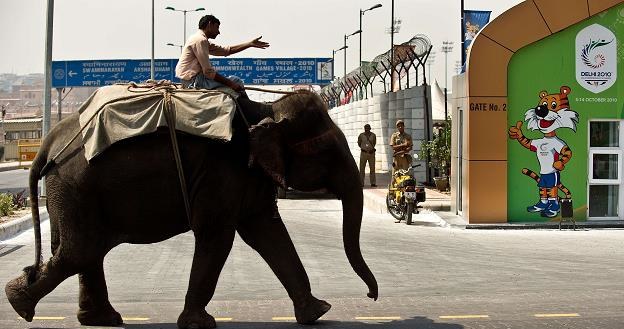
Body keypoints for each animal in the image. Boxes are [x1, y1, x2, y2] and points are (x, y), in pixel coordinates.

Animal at [4, 89, 378, 328]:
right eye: (328, 150)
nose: (372, 296)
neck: (265, 109)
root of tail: (48, 142)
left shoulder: (247, 176)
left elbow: (268, 231)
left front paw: (318, 312)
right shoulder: (222, 173)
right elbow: (217, 235)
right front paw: (199, 324)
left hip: (74, 193)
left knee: (84, 251)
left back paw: (99, 320)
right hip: (77, 188)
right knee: (80, 251)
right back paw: (19, 304)